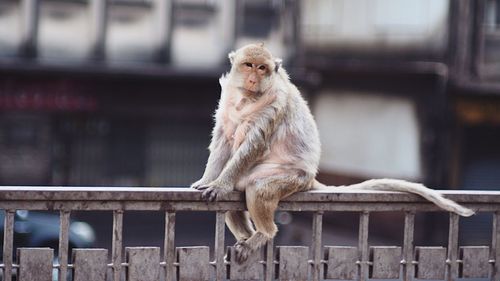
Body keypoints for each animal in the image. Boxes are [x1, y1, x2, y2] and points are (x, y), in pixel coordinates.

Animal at [190, 43, 472, 262]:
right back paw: (248, 236)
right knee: (235, 202)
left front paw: (221, 184)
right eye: (248, 65)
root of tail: (311, 178)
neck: (248, 97)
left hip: (291, 178)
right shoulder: (228, 102)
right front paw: (209, 180)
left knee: (258, 188)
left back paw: (263, 234)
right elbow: (223, 139)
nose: (252, 78)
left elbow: (253, 146)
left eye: (262, 68)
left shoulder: (274, 103)